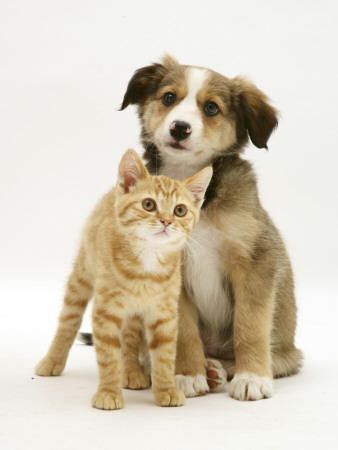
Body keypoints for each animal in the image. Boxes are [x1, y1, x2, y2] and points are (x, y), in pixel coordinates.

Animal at [36, 149, 211, 410]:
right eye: (149, 204)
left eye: (180, 210)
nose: (166, 221)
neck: (147, 263)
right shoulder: (105, 311)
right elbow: (108, 354)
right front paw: (108, 392)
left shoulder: (164, 313)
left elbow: (165, 354)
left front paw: (166, 389)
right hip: (82, 276)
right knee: (68, 321)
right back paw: (52, 360)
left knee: (129, 336)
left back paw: (132, 372)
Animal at [119, 54, 304, 402]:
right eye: (168, 98)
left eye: (211, 108)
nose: (180, 128)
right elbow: (183, 331)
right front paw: (187, 375)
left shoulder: (254, 263)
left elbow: (250, 326)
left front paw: (252, 378)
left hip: (287, 351)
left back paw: (222, 369)